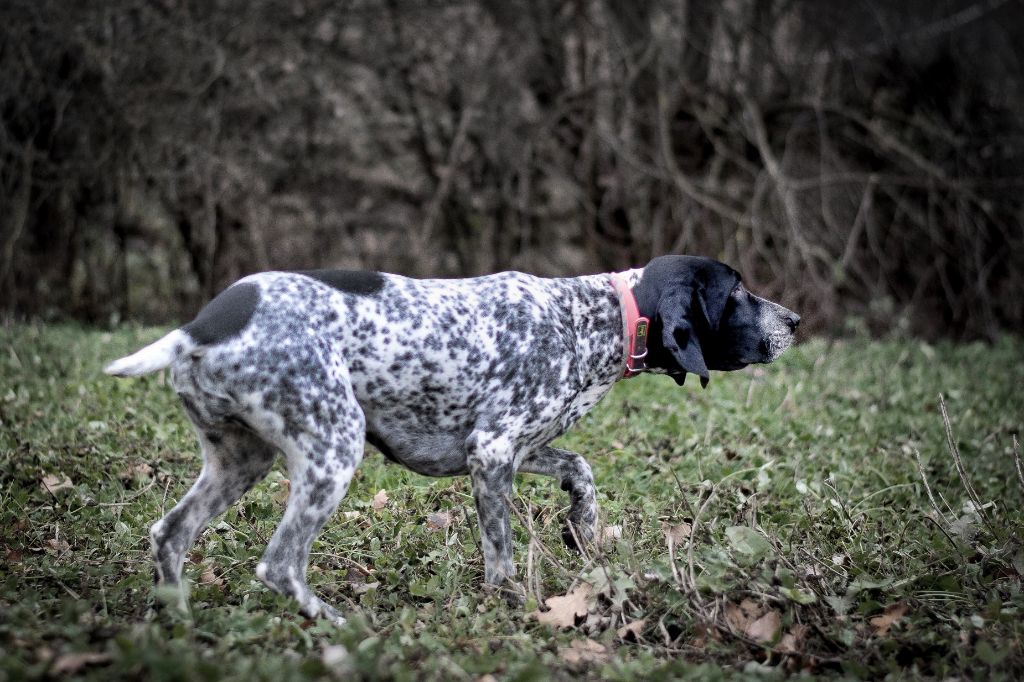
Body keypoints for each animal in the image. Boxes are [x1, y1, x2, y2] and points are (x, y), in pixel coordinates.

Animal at [108, 253, 802, 622]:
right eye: (738, 290)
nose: (796, 319)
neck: (598, 317)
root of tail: (201, 327)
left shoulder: (515, 448)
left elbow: (581, 468)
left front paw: (582, 526)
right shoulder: (491, 452)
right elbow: (500, 553)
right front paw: (512, 604)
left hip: (240, 462)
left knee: (169, 534)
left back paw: (179, 619)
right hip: (333, 449)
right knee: (278, 564)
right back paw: (335, 624)